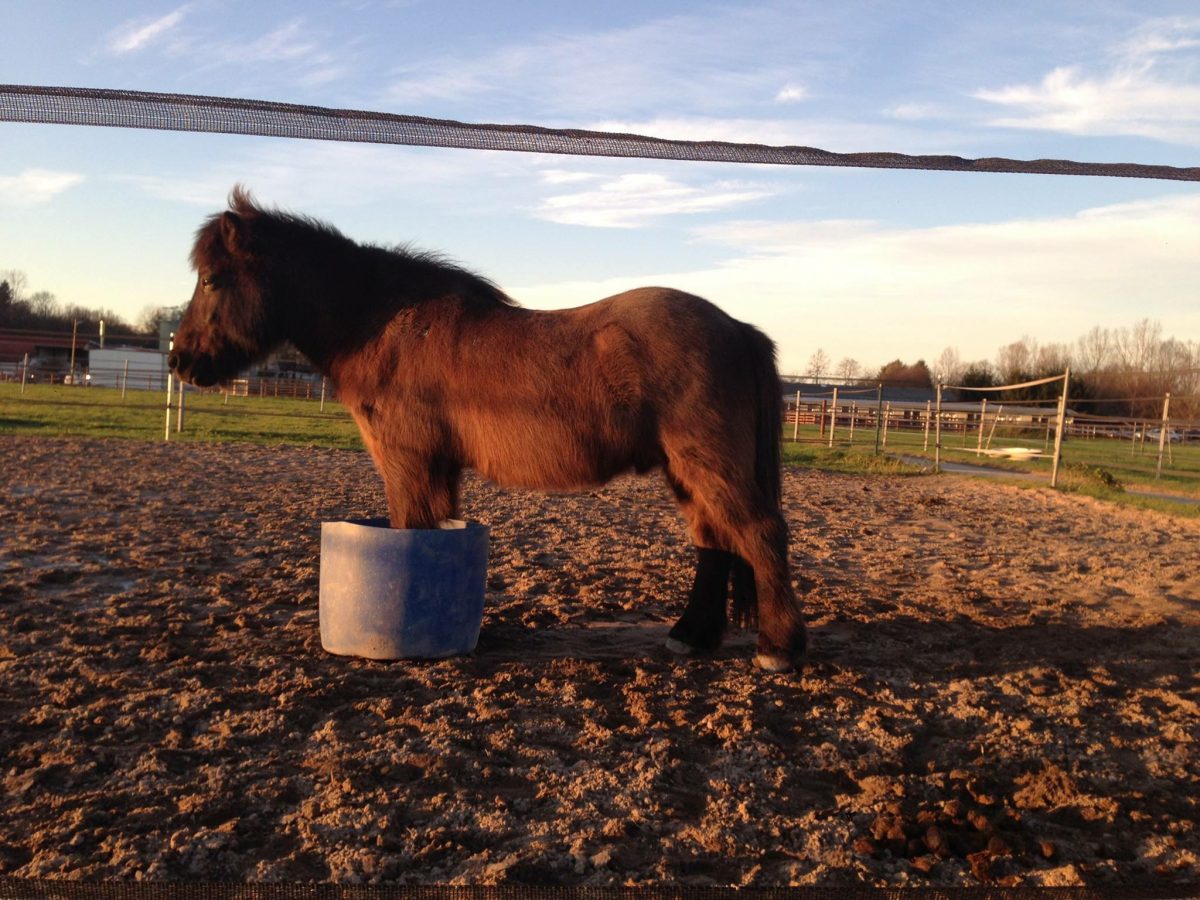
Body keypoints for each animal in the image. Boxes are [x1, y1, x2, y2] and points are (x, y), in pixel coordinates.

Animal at [170, 188, 806, 671]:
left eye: (213, 280)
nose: (181, 361)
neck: (386, 325)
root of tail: (736, 327)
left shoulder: (407, 461)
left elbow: (412, 529)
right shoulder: (438, 467)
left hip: (709, 465)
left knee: (761, 533)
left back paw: (778, 648)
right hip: (685, 472)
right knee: (715, 543)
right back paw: (691, 636)